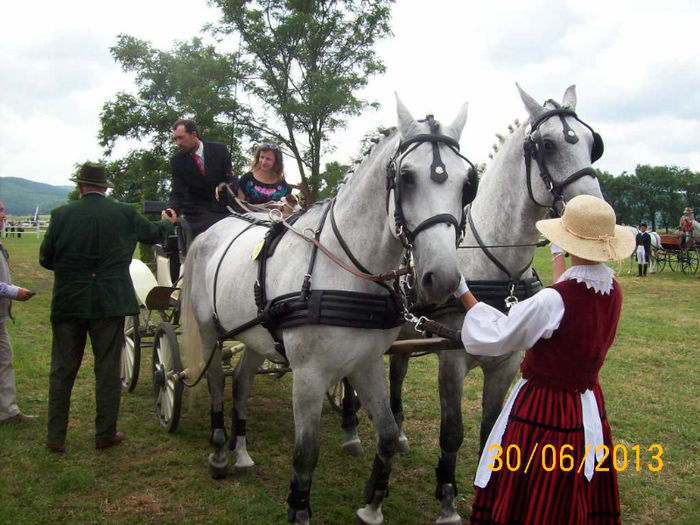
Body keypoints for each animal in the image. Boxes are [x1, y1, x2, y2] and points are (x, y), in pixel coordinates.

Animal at [179, 96, 476, 520]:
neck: (346, 270)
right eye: (406, 177)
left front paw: (373, 504)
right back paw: (220, 452)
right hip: (209, 330)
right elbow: (306, 454)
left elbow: (388, 434)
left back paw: (242, 452)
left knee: (242, 381)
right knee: (217, 381)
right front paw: (299, 510)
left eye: (467, 184)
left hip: (254, 335)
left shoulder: (366, 362)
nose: (444, 278)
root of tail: (210, 231)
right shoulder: (308, 375)